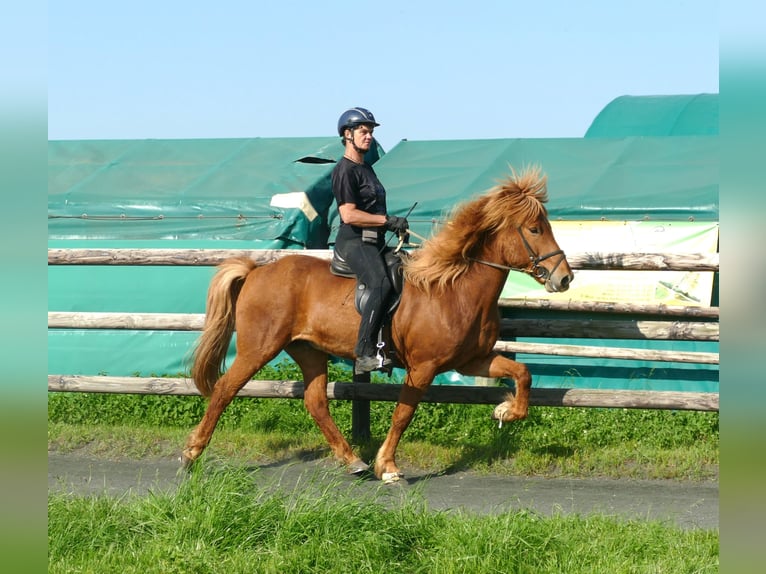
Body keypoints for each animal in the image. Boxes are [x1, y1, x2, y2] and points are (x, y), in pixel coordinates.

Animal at [183, 165, 572, 482]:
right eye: (535, 229)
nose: (564, 278)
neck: (452, 288)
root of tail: (255, 271)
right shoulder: (423, 367)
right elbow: (403, 413)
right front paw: (389, 466)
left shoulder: (471, 360)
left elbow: (523, 373)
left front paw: (505, 410)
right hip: (259, 347)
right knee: (225, 389)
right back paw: (191, 453)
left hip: (308, 350)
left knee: (315, 402)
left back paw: (353, 461)